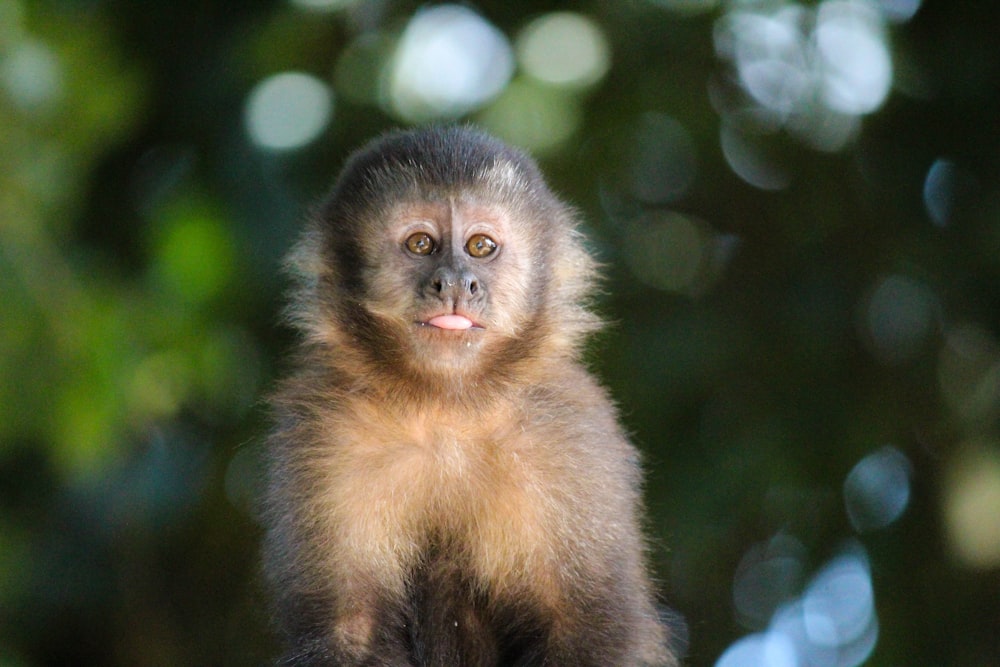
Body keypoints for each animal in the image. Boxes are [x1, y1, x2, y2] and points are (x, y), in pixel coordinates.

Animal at [262, 126, 676, 667]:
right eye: (421, 243)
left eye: (480, 246)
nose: (457, 282)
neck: (448, 409)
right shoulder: (324, 432)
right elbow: (349, 631)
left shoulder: (568, 436)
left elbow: (590, 632)